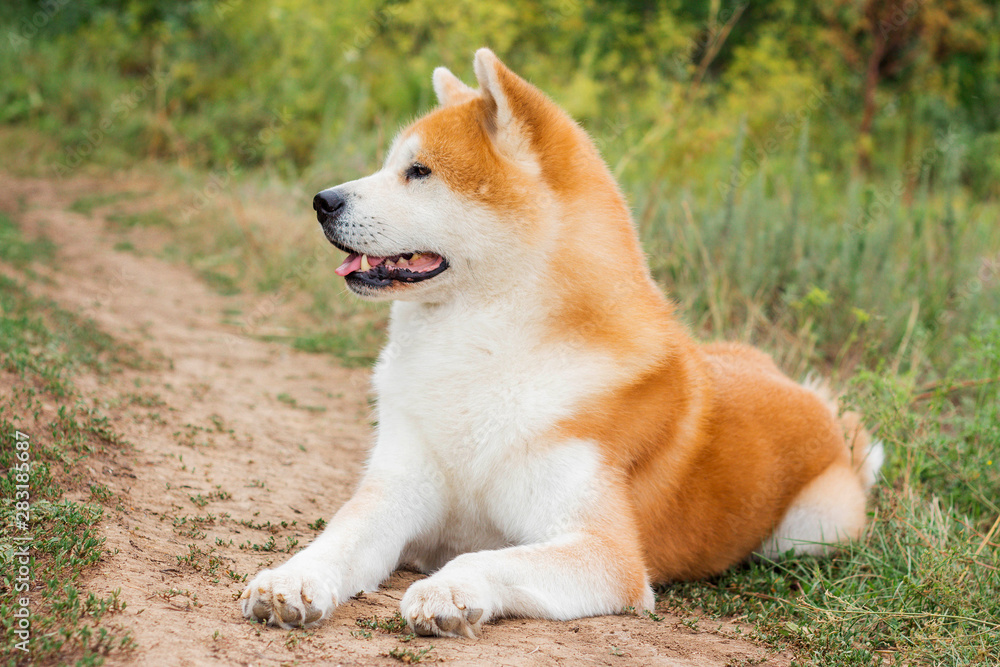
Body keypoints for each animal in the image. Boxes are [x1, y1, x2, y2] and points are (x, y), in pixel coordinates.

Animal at [242, 49, 884, 640]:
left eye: (419, 172)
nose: (322, 200)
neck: (483, 354)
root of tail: (813, 398)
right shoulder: (394, 497)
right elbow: (338, 539)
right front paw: (291, 579)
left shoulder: (605, 554)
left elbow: (486, 557)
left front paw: (449, 589)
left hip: (810, 532)